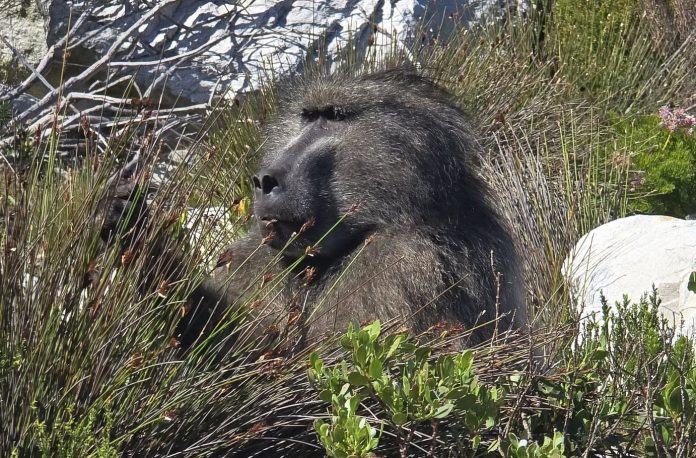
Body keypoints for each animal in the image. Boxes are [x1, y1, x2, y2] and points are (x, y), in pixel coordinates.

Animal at [99, 69, 526, 351]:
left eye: (333, 117)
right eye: (307, 116)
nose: (264, 180)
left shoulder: (412, 265)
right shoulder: (258, 254)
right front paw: (132, 225)